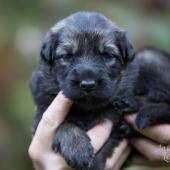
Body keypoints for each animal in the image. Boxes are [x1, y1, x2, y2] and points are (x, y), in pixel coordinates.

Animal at [30, 11, 134, 170]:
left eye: (107, 55)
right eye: (67, 56)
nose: (88, 84)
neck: (85, 109)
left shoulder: (114, 117)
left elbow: (109, 140)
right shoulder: (43, 110)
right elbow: (64, 123)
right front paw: (77, 146)